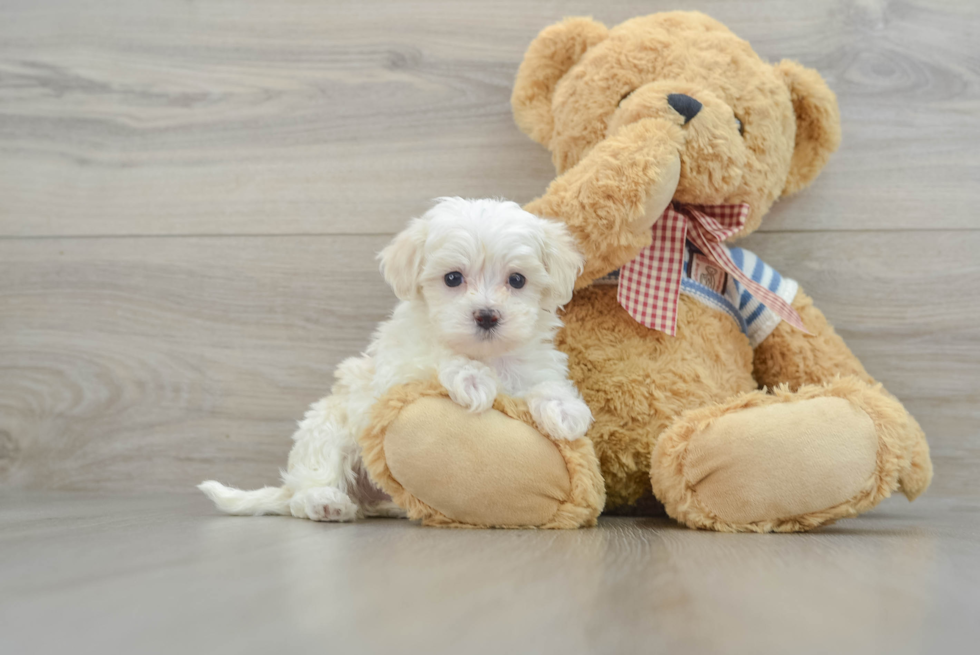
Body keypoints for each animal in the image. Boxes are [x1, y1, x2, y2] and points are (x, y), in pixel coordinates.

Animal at [201, 196, 588, 524]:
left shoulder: (533, 366)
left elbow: (546, 384)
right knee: (309, 483)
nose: (487, 315)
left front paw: (565, 410)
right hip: (328, 429)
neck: (484, 354)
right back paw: (325, 502)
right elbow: (434, 359)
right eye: (452, 278)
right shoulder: (395, 375)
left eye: (517, 280)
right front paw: (472, 378)